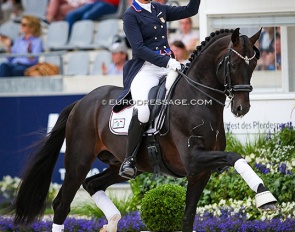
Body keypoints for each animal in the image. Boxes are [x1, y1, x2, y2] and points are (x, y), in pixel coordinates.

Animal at [9, 28, 278, 232]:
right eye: (233, 64)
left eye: (254, 63)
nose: (242, 108)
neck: (197, 99)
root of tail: (81, 102)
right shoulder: (193, 159)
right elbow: (235, 156)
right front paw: (266, 196)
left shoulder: (199, 173)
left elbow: (188, 217)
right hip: (78, 160)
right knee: (62, 204)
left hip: (120, 165)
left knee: (93, 184)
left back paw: (112, 222)